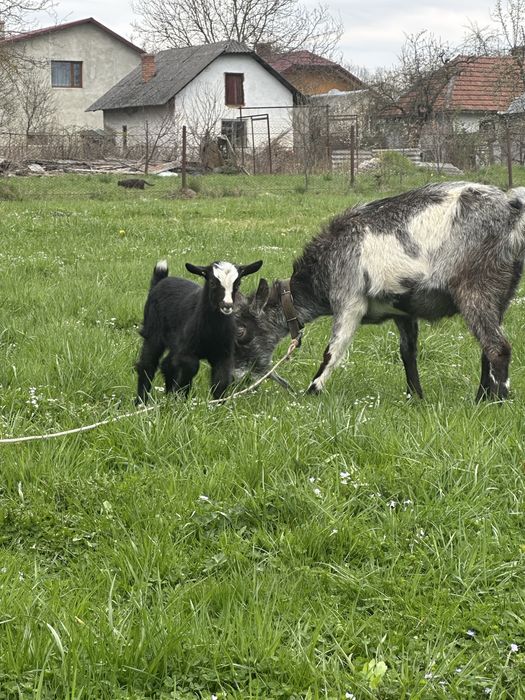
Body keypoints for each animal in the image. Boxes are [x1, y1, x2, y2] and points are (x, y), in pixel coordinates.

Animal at [136, 258, 262, 403]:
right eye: (212, 282)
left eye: (238, 284)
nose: (227, 305)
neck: (212, 330)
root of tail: (161, 281)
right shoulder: (187, 352)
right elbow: (190, 367)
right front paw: (181, 396)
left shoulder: (223, 354)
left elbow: (221, 380)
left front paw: (218, 405)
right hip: (153, 332)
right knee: (147, 365)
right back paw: (141, 402)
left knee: (166, 364)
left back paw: (168, 397)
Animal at [234, 181, 525, 401]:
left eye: (241, 331)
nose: (235, 382)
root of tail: (511, 208)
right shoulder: (403, 312)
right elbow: (408, 353)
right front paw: (415, 398)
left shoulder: (349, 300)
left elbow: (333, 350)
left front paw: (312, 392)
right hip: (501, 294)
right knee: (486, 348)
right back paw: (480, 400)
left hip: (477, 288)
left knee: (498, 347)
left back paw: (497, 402)